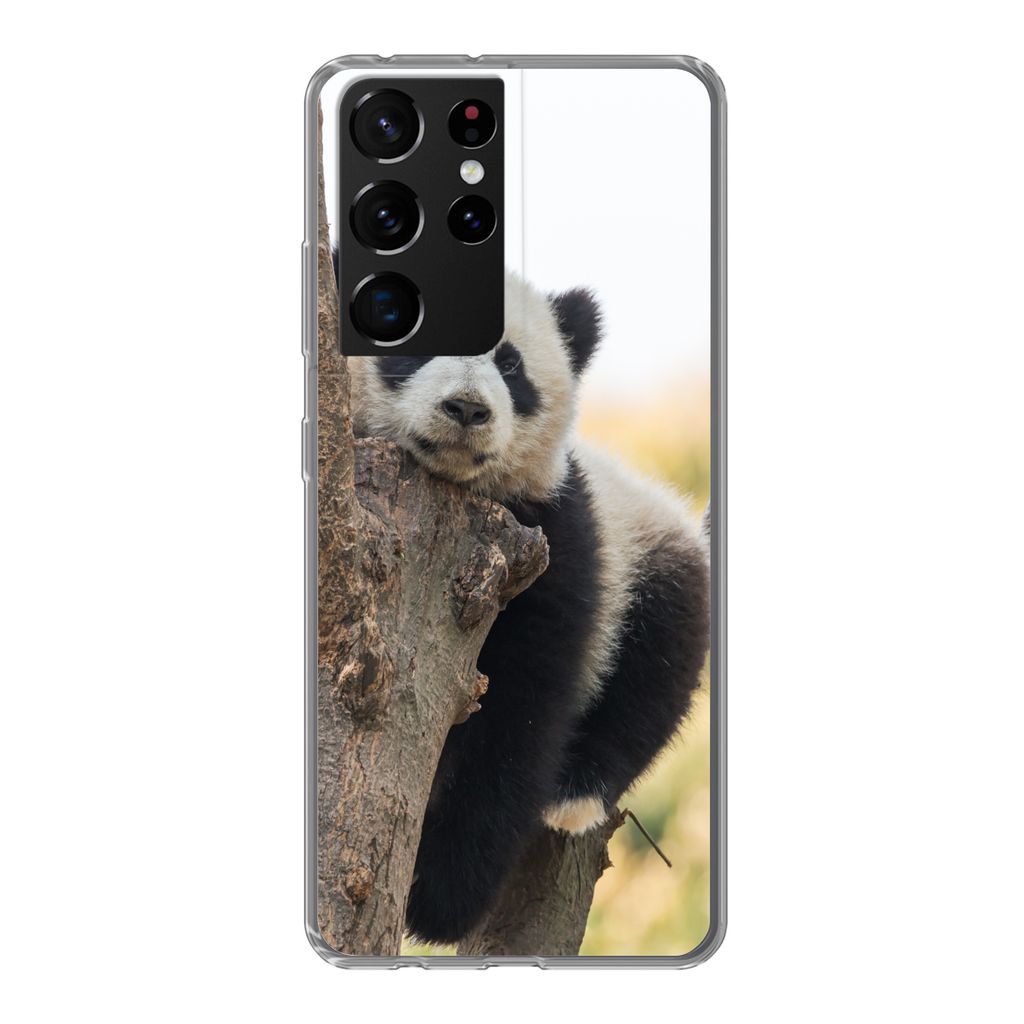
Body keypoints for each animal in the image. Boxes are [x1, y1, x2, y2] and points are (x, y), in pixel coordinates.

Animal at [345, 270, 711, 945]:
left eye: (510, 364)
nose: (467, 409)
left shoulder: (553, 536)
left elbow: (523, 706)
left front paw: (437, 899)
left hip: (648, 553)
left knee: (656, 666)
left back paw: (576, 795)